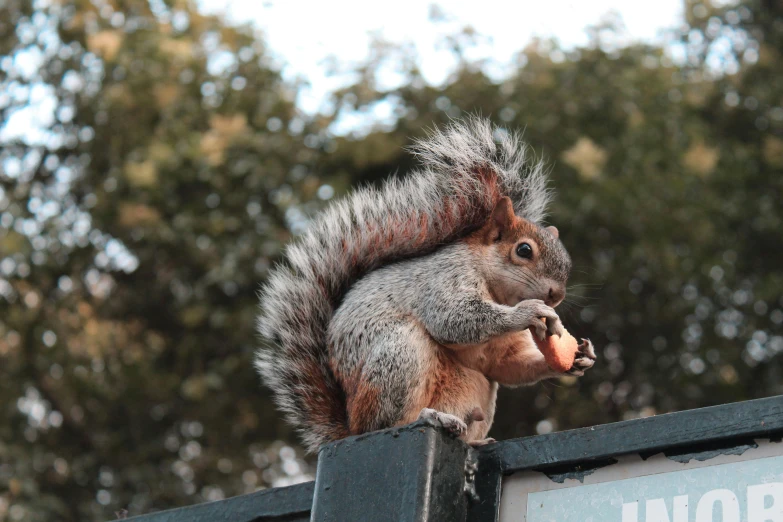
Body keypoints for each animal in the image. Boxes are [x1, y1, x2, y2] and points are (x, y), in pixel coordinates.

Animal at [254, 118, 596, 450]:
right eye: (524, 250)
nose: (556, 295)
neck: (497, 291)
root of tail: (349, 427)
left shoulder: (502, 351)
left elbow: (507, 364)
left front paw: (578, 357)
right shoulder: (445, 279)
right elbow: (453, 319)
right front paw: (527, 312)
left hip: (476, 390)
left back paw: (473, 438)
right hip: (398, 354)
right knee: (385, 424)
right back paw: (428, 418)